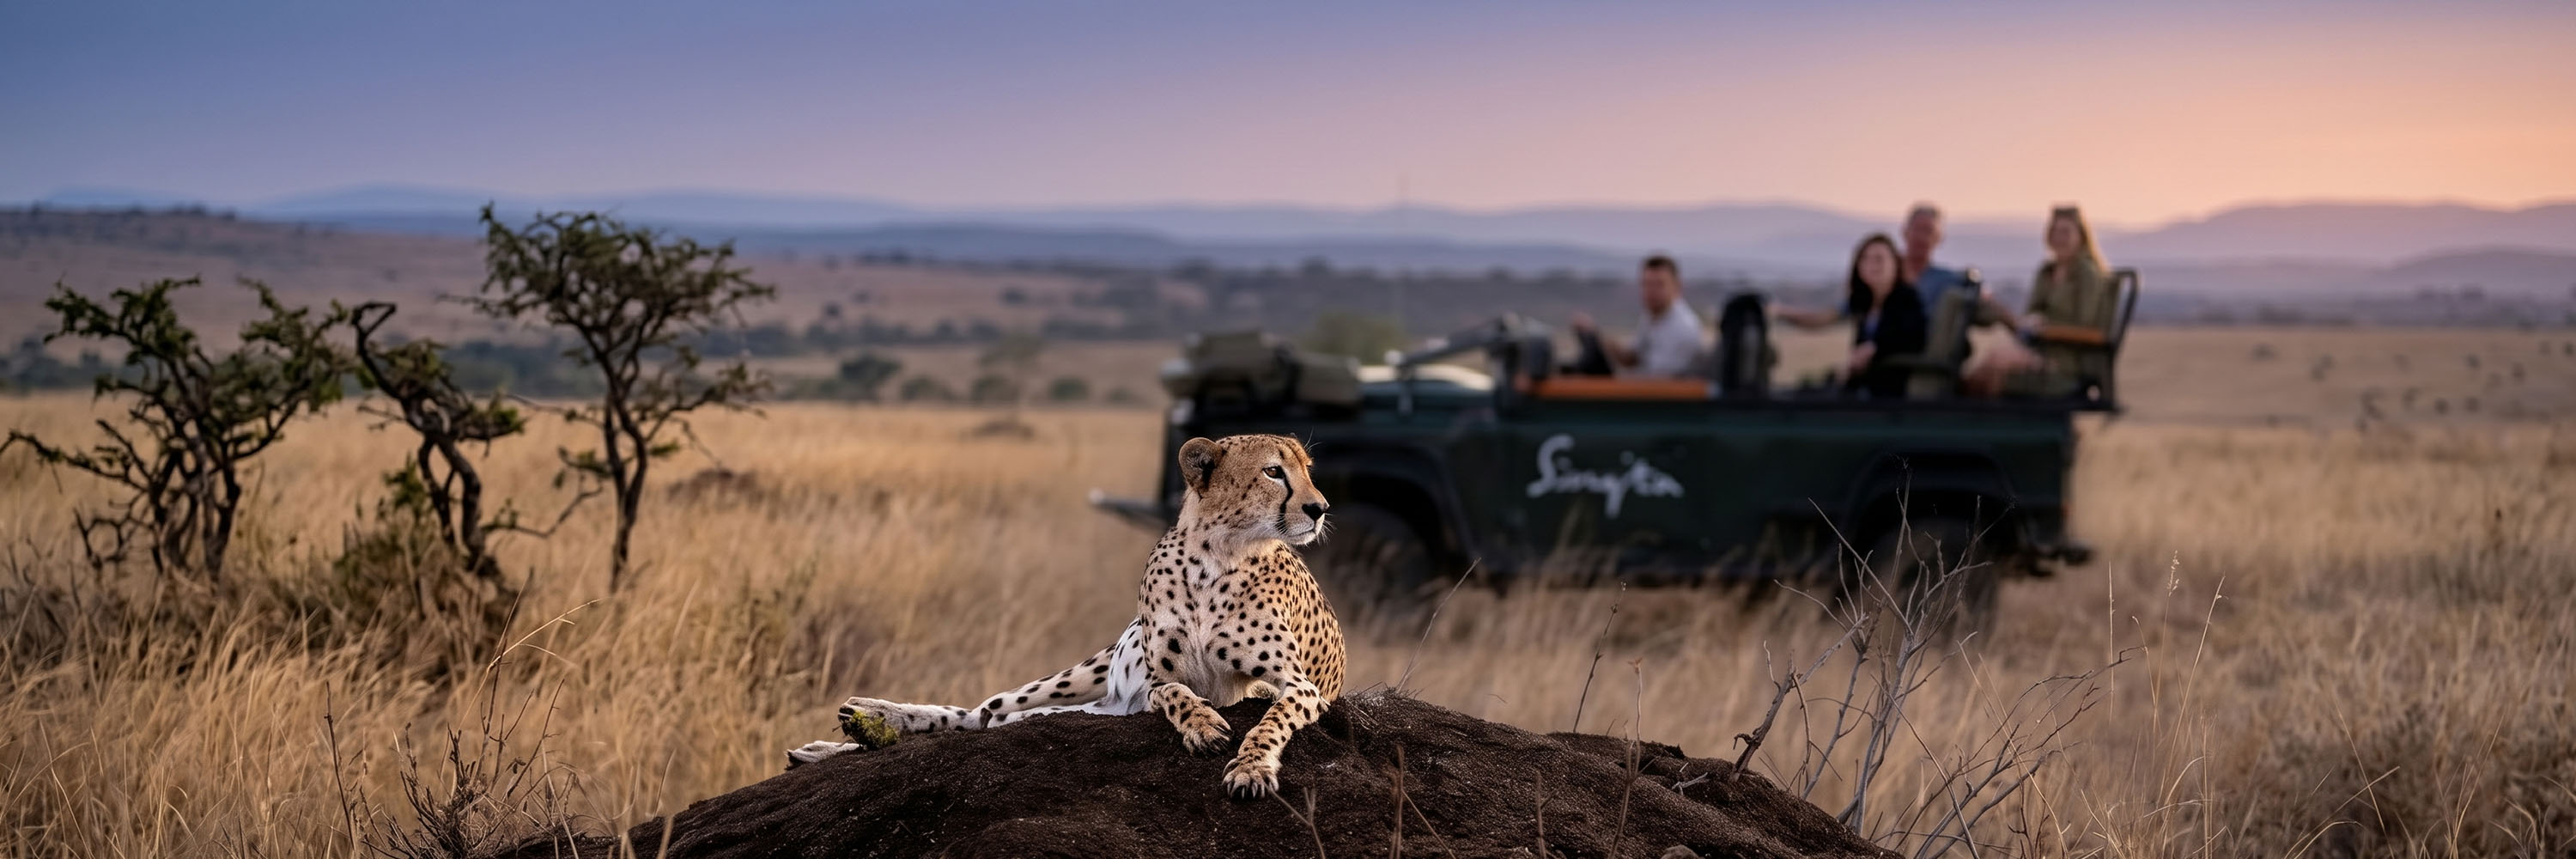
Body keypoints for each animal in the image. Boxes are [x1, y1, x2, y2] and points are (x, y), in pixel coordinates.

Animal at [785, 434, 1346, 798]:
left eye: (1308, 470)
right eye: (1274, 471)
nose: (1320, 508)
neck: (1216, 555)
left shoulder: (1298, 686)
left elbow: (1268, 720)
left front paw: (1251, 769)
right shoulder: (1158, 679)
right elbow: (1175, 693)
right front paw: (1204, 724)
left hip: (1102, 708)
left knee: (998, 721)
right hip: (1081, 683)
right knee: (981, 714)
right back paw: (864, 723)